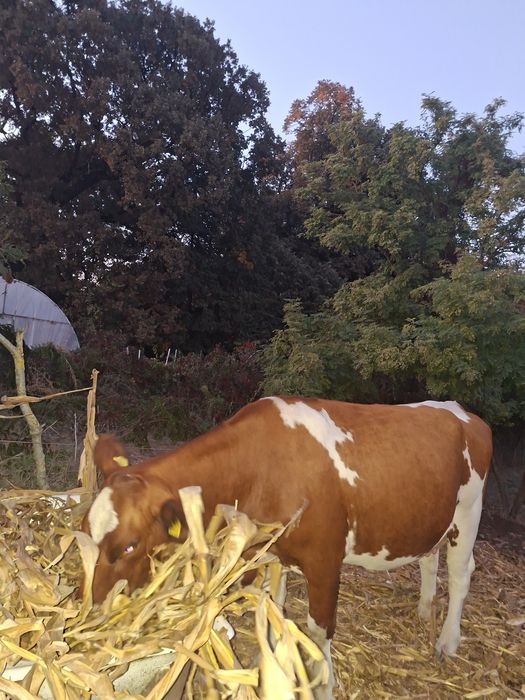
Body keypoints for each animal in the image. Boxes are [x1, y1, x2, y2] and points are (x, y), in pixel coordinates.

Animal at [83, 397, 492, 698]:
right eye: (85, 529)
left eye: (130, 546)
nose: (96, 611)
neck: (259, 466)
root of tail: (463, 412)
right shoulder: (270, 551)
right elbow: (273, 610)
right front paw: (277, 664)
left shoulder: (325, 561)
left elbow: (318, 629)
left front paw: (322, 683)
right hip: (432, 517)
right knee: (429, 558)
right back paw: (424, 609)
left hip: (469, 512)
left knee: (461, 575)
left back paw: (447, 642)